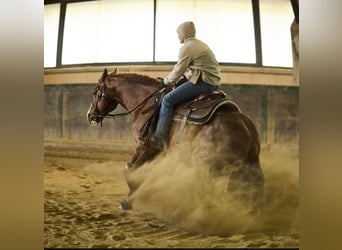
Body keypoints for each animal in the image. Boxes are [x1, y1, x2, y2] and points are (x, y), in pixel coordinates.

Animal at [86, 68, 264, 213]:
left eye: (95, 92)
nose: (90, 115)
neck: (147, 104)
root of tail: (246, 130)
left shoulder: (145, 146)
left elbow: (130, 170)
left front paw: (127, 201)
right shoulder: (153, 150)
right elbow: (133, 169)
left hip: (207, 165)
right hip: (248, 166)